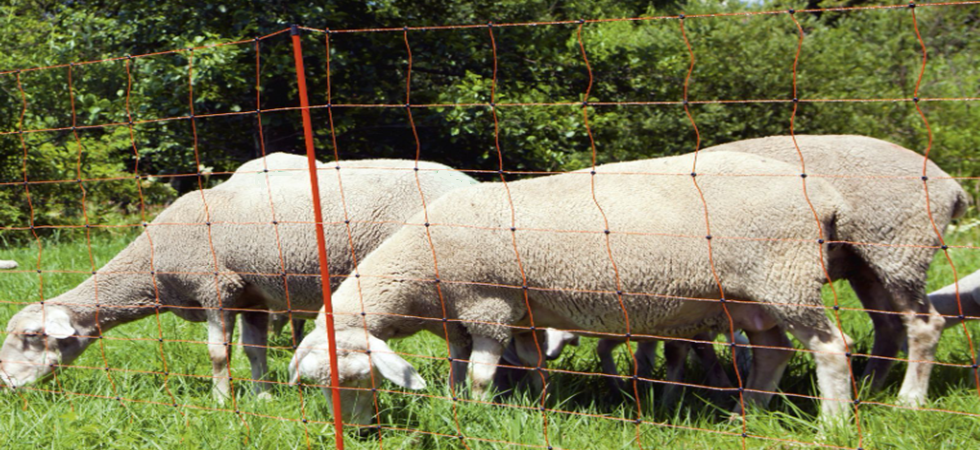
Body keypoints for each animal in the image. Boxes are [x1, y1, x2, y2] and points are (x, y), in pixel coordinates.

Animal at [0, 155, 477, 402]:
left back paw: (459, 397)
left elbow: (217, 354)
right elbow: (253, 350)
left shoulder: (217, 287)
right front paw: (263, 396)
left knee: (461, 340)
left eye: (31, 336)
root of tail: (468, 181)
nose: (7, 384)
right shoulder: (252, 296)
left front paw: (222, 401)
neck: (152, 265)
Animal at [289, 150, 856, 426]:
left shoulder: (488, 305)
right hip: (751, 296)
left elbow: (480, 375)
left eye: (362, 380)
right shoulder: (488, 317)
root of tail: (826, 194)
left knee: (831, 348)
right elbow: (483, 367)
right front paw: (524, 403)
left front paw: (477, 414)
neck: (417, 267)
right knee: (773, 352)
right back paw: (746, 413)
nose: (358, 433)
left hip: (784, 273)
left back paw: (831, 425)